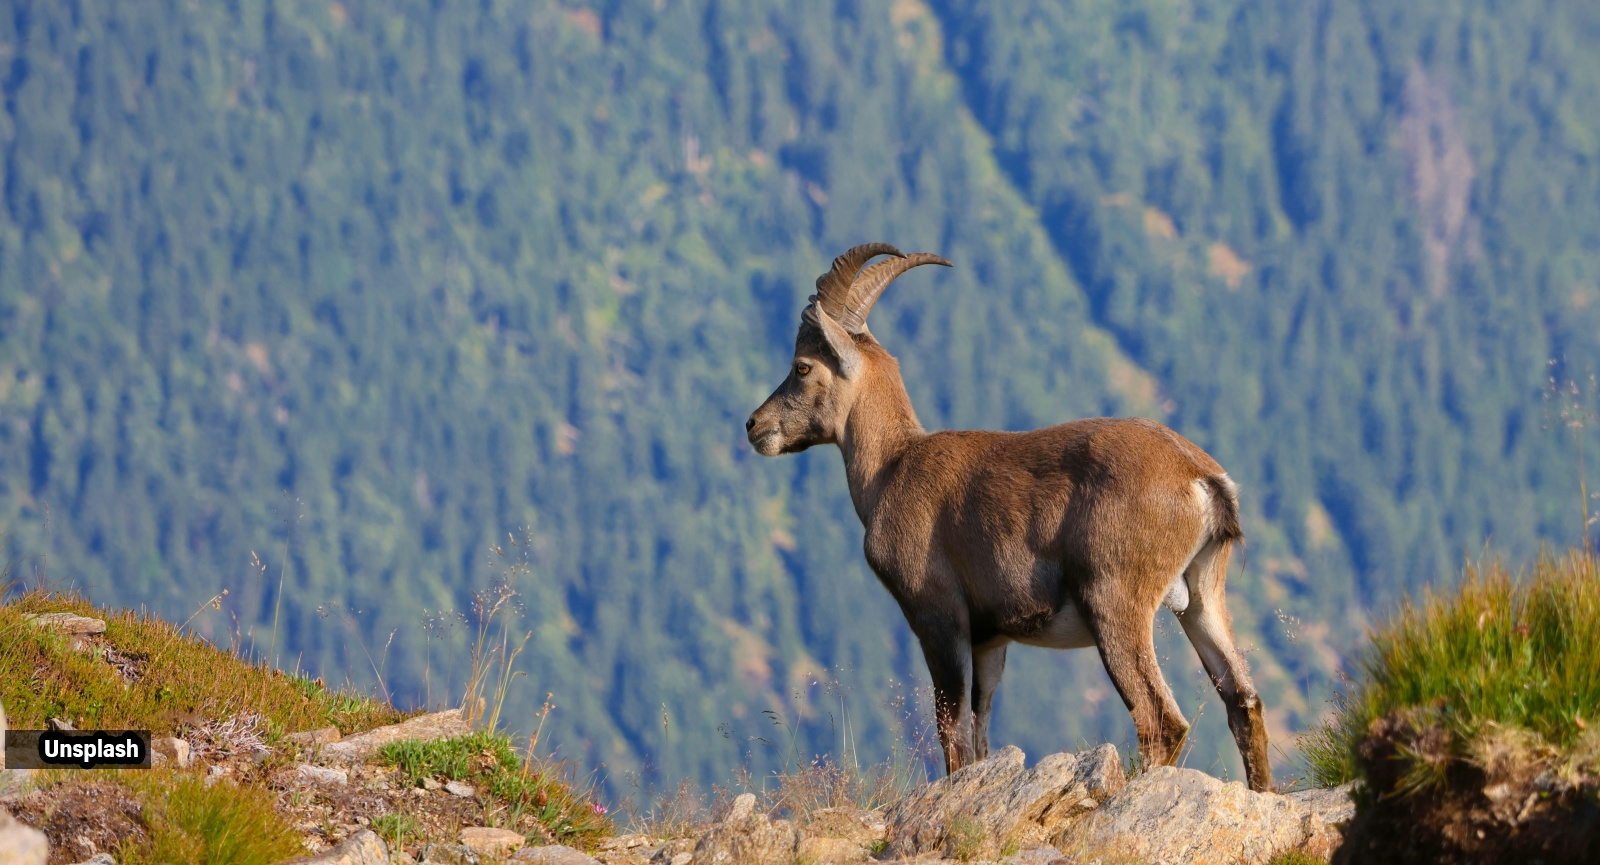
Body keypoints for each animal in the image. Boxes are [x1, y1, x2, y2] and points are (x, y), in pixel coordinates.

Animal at [745, 243, 1274, 792]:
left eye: (802, 367)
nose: (754, 425)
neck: (892, 468)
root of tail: (1202, 478)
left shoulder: (937, 615)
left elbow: (953, 730)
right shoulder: (990, 637)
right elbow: (980, 731)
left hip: (1115, 599)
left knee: (1160, 719)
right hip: (1203, 595)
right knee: (1243, 700)